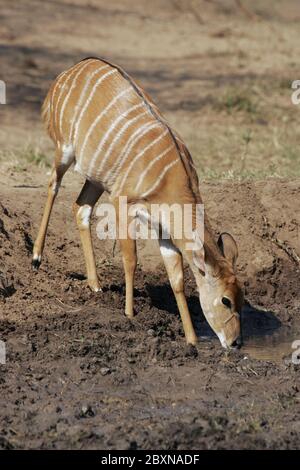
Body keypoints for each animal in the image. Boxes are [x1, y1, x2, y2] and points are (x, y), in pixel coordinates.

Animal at [33, 56, 244, 348]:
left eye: (242, 299)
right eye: (225, 300)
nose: (236, 342)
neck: (171, 178)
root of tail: (67, 73)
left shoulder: (164, 231)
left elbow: (177, 279)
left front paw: (191, 339)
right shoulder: (123, 204)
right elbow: (131, 260)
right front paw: (130, 314)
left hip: (97, 178)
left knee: (81, 208)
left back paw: (95, 284)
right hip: (64, 150)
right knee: (54, 185)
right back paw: (36, 257)